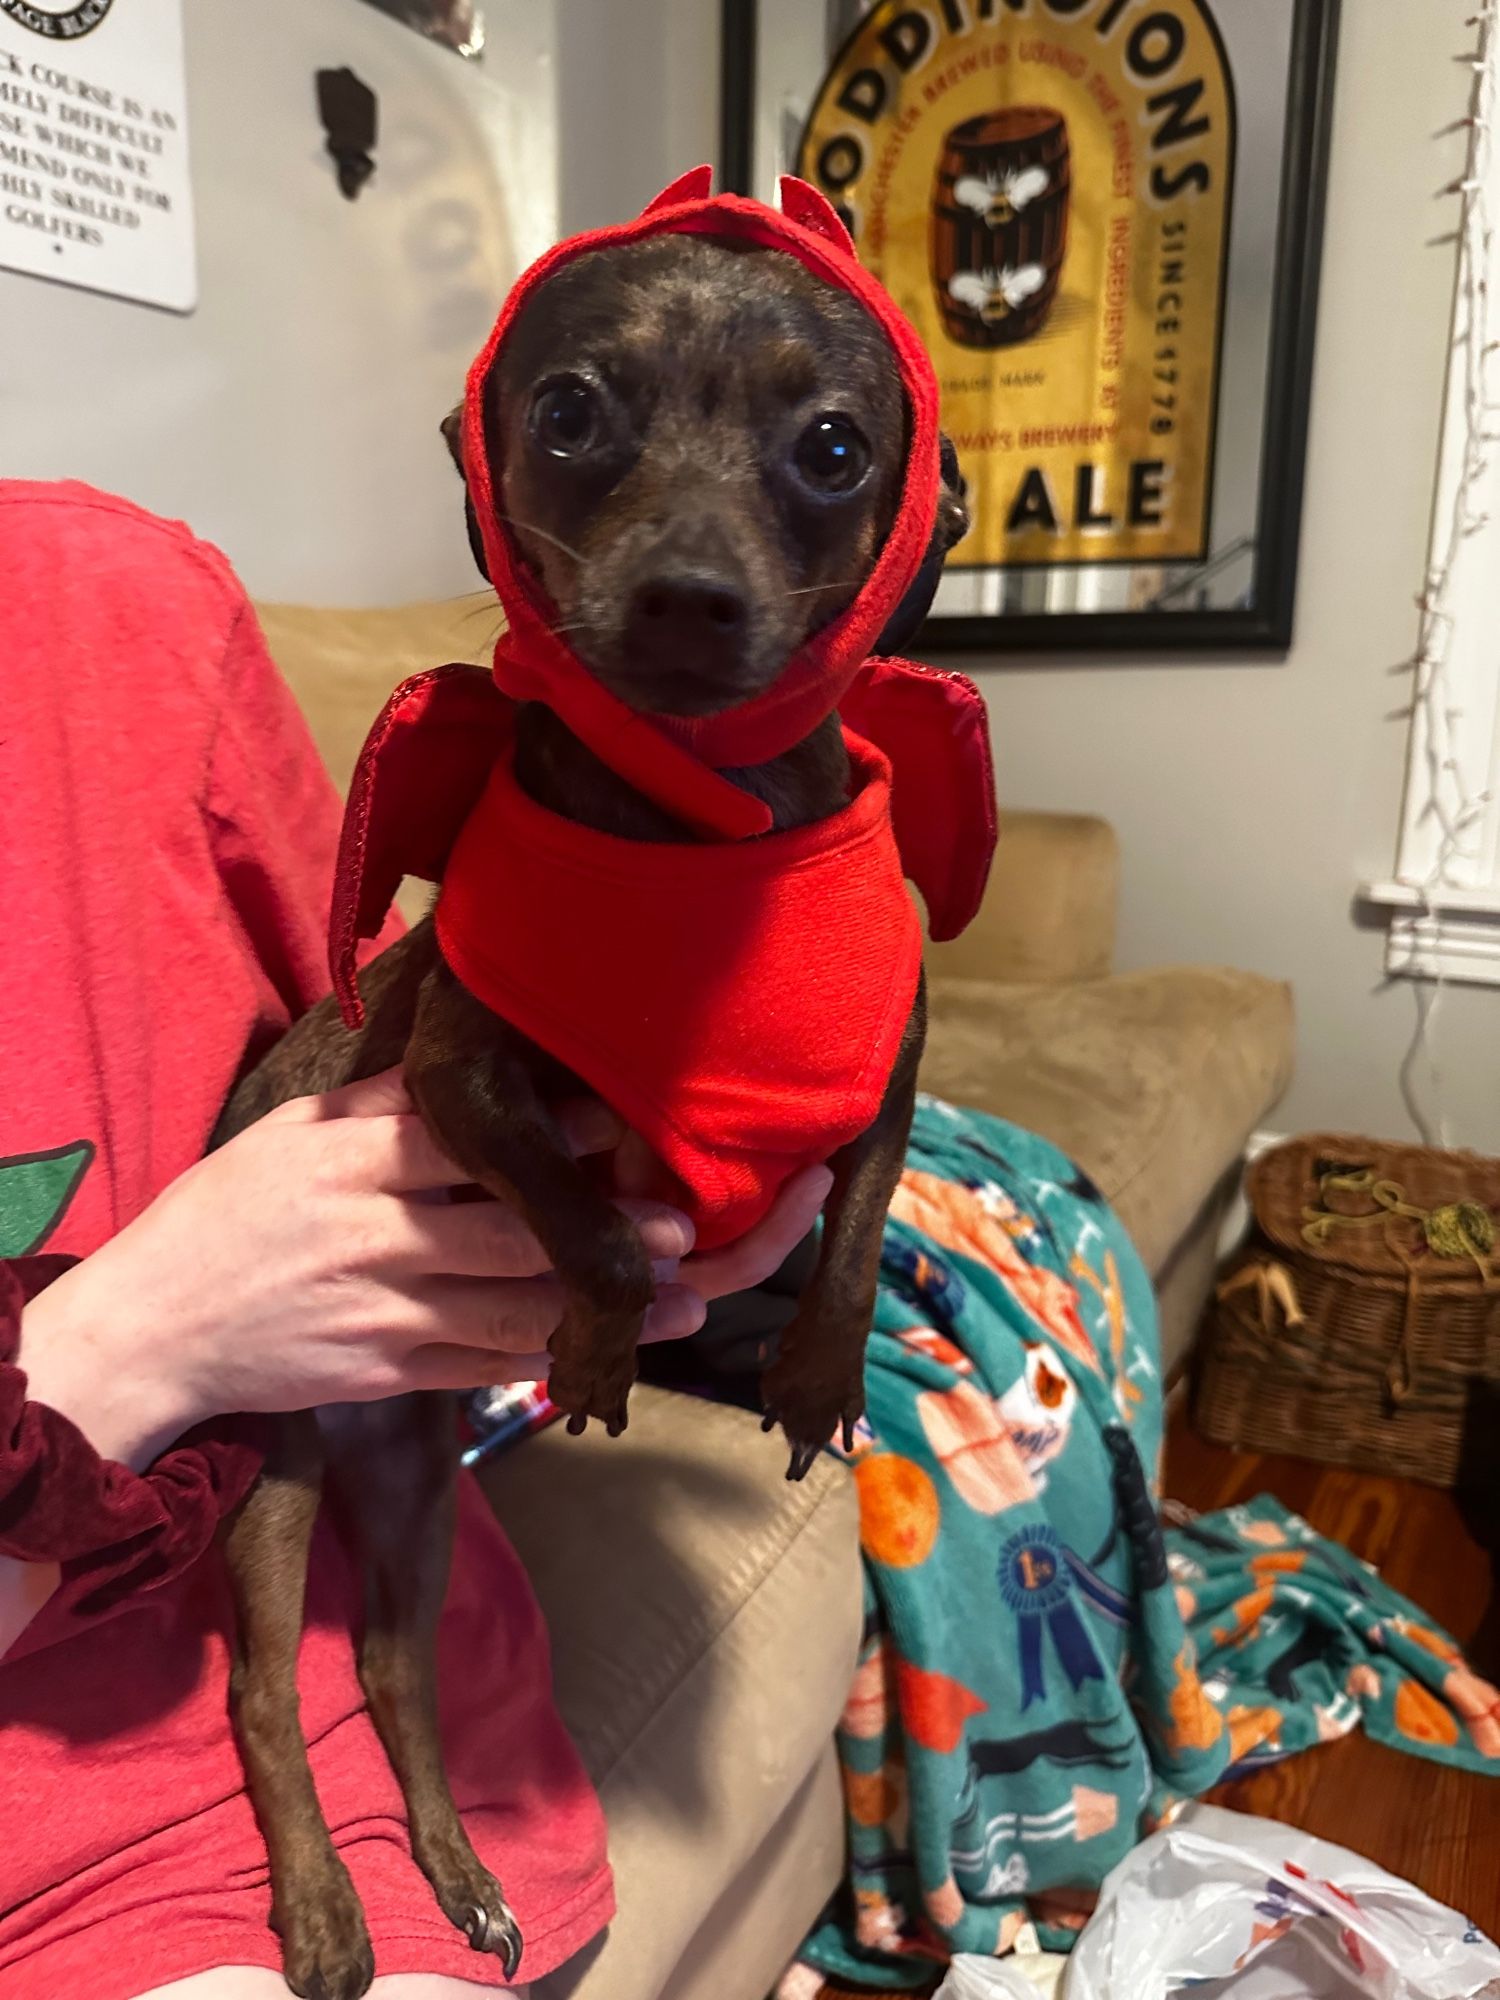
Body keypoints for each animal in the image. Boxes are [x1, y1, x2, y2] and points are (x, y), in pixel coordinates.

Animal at [214, 227, 976, 1992]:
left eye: (833, 447)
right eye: (565, 412)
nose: (687, 598)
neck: (699, 836)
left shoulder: (885, 1081)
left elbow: (855, 1238)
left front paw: (814, 1377)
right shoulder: (455, 1078)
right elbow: (609, 1236)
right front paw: (600, 1347)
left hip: (417, 1512)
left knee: (397, 1679)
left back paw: (464, 1874)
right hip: (278, 1502)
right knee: (275, 1697)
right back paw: (330, 1910)